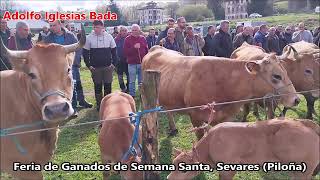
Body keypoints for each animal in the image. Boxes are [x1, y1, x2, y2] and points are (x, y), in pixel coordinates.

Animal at [168, 119, 320, 179]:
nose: (169, 178)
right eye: (173, 164)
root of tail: (304, 123)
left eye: (184, 169)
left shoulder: (228, 170)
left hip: (304, 171)